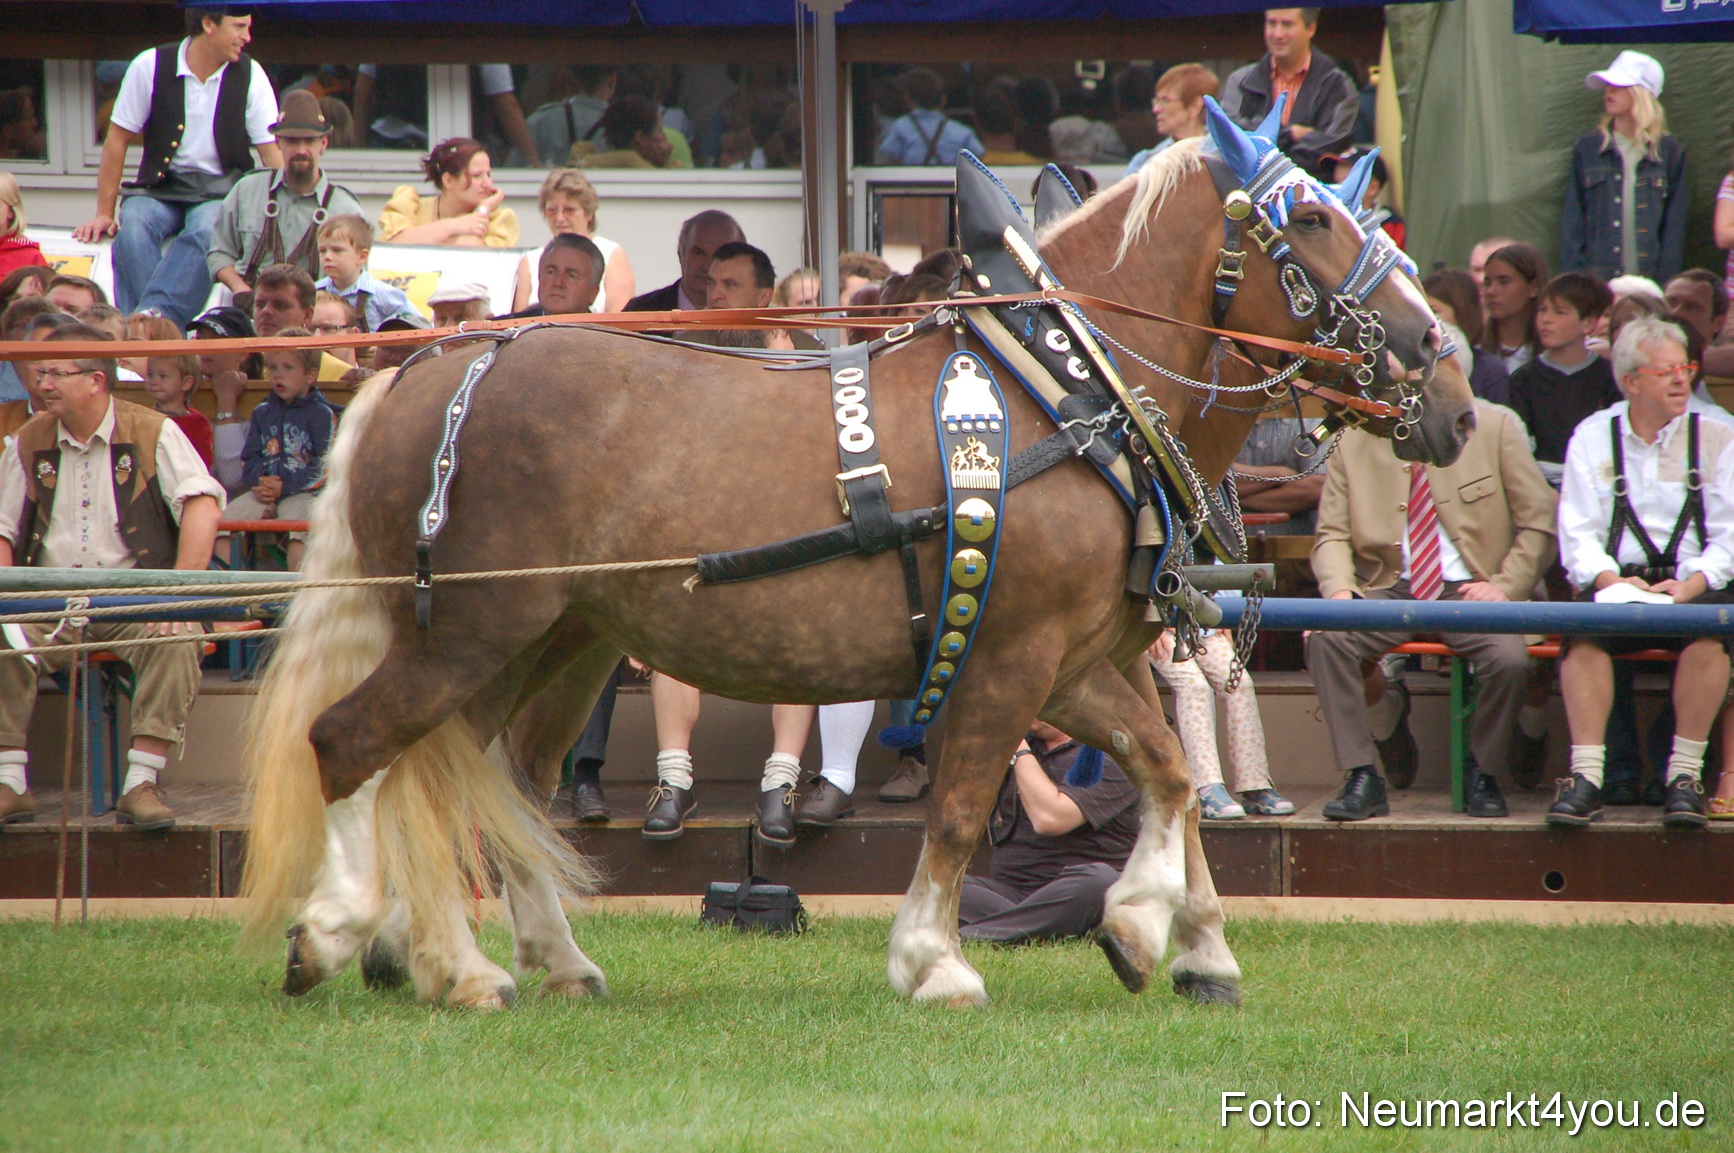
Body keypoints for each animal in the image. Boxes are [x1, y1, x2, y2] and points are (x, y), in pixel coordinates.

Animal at [241, 104, 1475, 1009]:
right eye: (1310, 218)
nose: (1446, 375)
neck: (1073, 390)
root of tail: (428, 368)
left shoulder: (1079, 659)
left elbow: (1169, 771)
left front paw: (1175, 940)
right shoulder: (1012, 655)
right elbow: (968, 805)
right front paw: (937, 959)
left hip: (558, 639)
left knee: (480, 781)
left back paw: (502, 959)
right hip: (473, 631)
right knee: (359, 745)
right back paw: (372, 942)